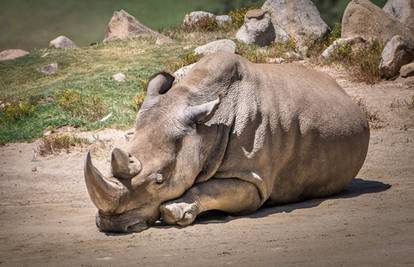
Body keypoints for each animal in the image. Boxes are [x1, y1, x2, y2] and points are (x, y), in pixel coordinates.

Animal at [84, 51, 368, 232]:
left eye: (159, 181)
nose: (112, 225)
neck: (204, 131)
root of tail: (344, 92)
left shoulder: (253, 179)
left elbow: (212, 189)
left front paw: (176, 211)